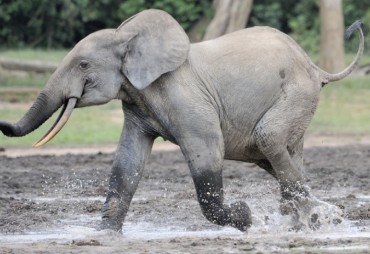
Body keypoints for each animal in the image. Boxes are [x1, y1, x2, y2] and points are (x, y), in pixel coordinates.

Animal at [0, 10, 364, 232]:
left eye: (83, 65)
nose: (4, 124)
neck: (127, 36)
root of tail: (315, 66)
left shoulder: (185, 98)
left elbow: (207, 151)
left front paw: (245, 217)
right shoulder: (138, 103)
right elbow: (127, 163)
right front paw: (104, 235)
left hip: (296, 94)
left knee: (268, 139)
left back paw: (316, 218)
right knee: (278, 157)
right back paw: (312, 220)